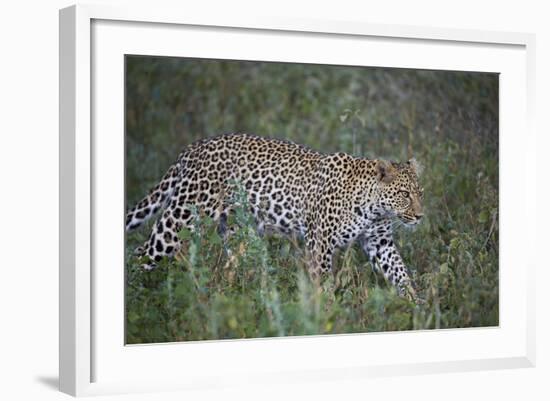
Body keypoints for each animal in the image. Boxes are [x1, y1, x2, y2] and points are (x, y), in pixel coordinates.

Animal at [126, 133, 426, 298]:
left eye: (420, 192)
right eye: (404, 194)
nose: (421, 216)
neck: (373, 209)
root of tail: (192, 148)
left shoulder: (380, 242)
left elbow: (400, 273)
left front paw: (417, 306)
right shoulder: (320, 243)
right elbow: (324, 282)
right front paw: (326, 312)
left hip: (236, 233)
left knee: (230, 269)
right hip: (177, 222)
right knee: (141, 254)